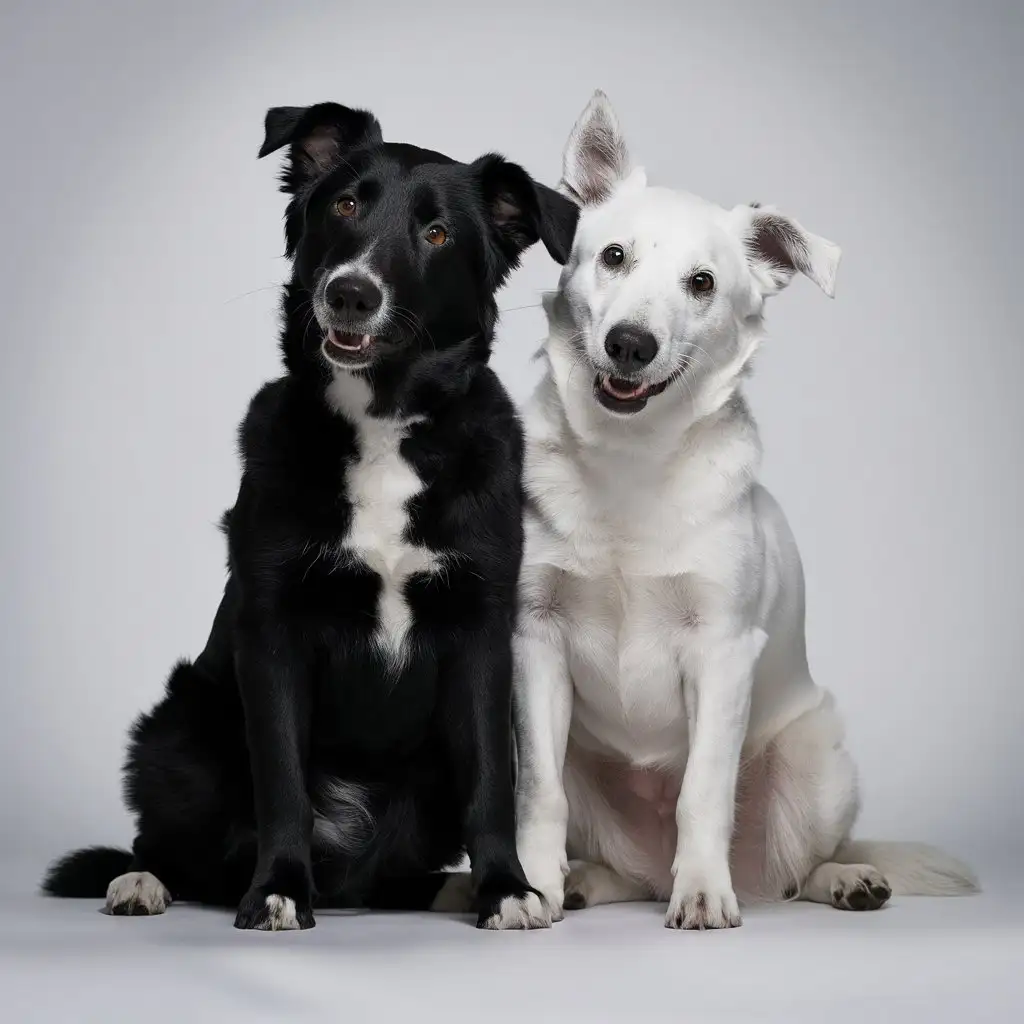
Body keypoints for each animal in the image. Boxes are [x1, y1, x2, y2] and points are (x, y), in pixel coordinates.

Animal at [41, 101, 577, 929]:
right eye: (345, 204)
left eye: (436, 233)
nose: (351, 293)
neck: (382, 424)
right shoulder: (273, 631)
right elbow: (283, 781)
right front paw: (280, 889)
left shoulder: (482, 631)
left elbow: (493, 776)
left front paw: (506, 889)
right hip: (178, 729)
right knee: (176, 843)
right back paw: (141, 881)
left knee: (392, 871)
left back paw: (443, 886)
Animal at [509, 92, 974, 933]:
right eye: (613, 256)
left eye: (700, 283)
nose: (631, 344)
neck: (631, 460)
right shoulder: (535, 642)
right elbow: (539, 793)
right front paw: (531, 887)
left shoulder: (723, 652)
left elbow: (702, 793)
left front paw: (702, 892)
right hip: (593, 774)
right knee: (631, 868)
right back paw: (589, 880)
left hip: (817, 758)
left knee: (793, 870)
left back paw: (843, 879)